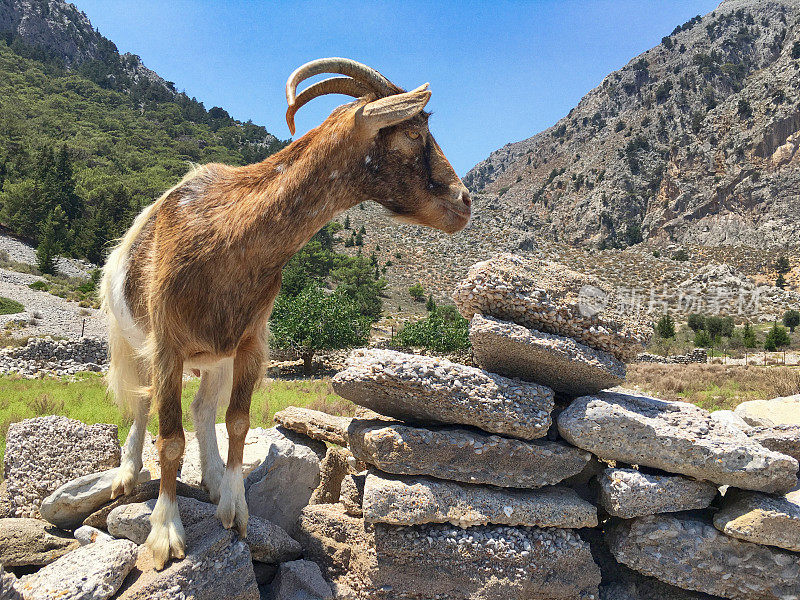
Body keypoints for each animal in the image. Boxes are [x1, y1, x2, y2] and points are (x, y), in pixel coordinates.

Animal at [102, 58, 472, 568]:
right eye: (414, 132)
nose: (464, 202)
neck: (229, 233)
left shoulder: (251, 342)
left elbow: (237, 421)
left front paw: (235, 509)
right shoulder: (168, 345)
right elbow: (170, 437)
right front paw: (165, 533)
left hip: (215, 357)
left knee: (202, 408)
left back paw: (212, 479)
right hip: (130, 339)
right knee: (140, 403)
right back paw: (127, 473)